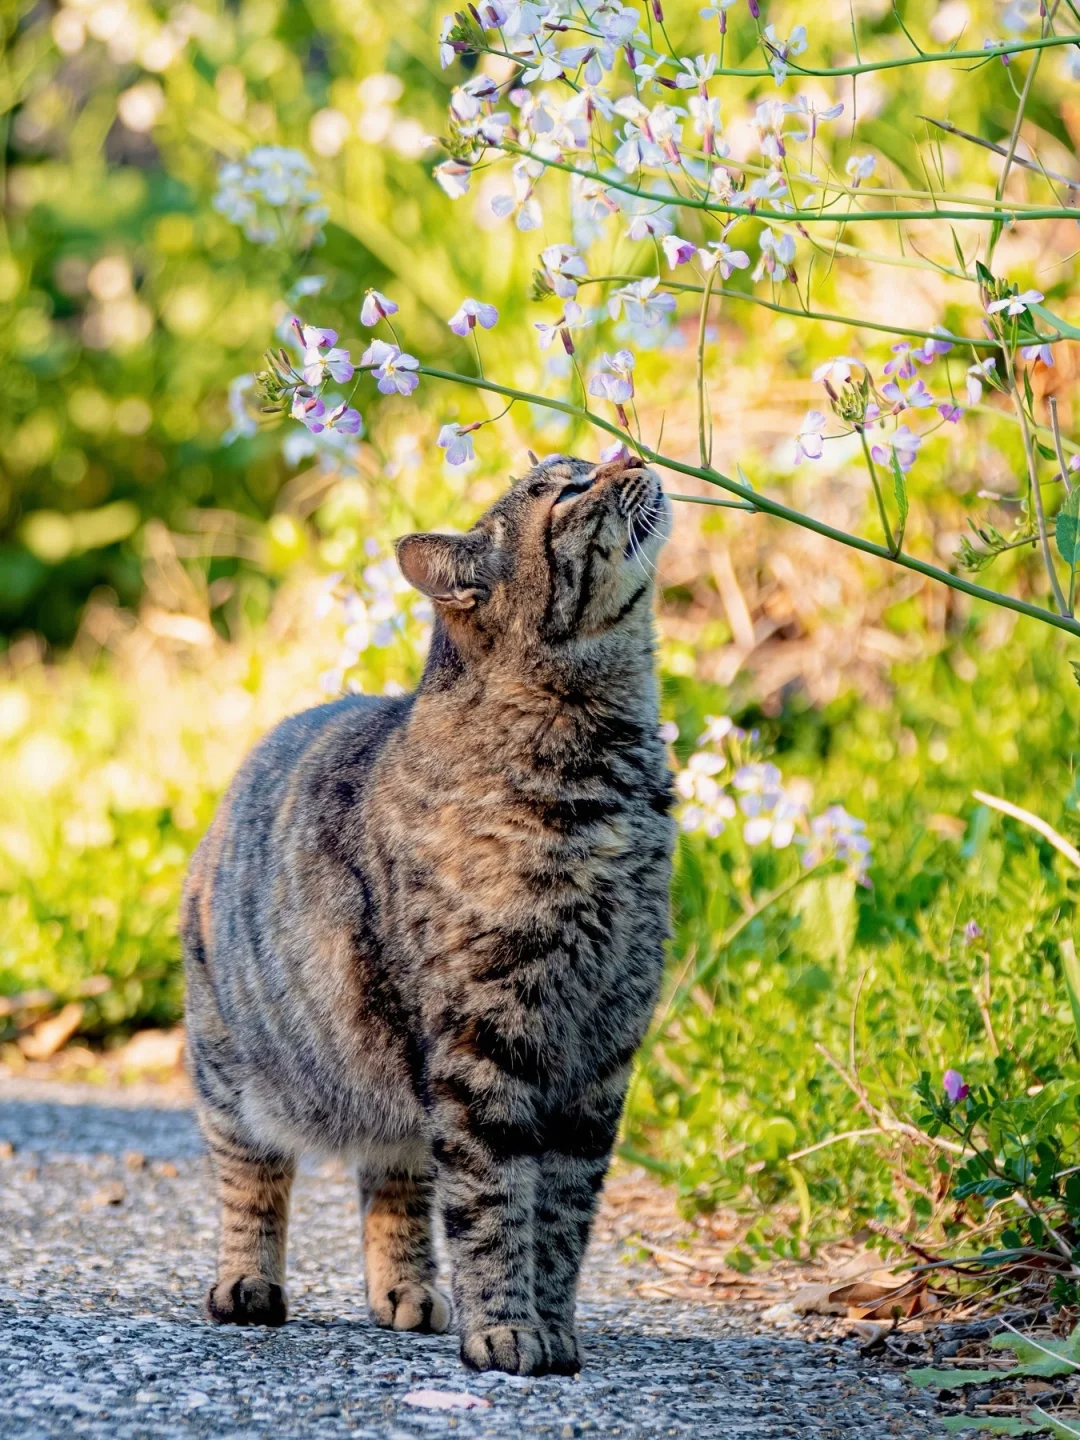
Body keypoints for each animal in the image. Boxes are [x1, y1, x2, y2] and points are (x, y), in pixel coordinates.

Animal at [184, 455, 676, 1376]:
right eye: (566, 492)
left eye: (581, 463)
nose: (628, 457)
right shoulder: (484, 1046)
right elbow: (494, 1204)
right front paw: (507, 1330)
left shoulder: (600, 1056)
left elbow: (563, 1217)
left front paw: (553, 1327)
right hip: (231, 1067)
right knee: (252, 1179)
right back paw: (246, 1283)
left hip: (401, 1082)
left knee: (395, 1180)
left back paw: (405, 1292)